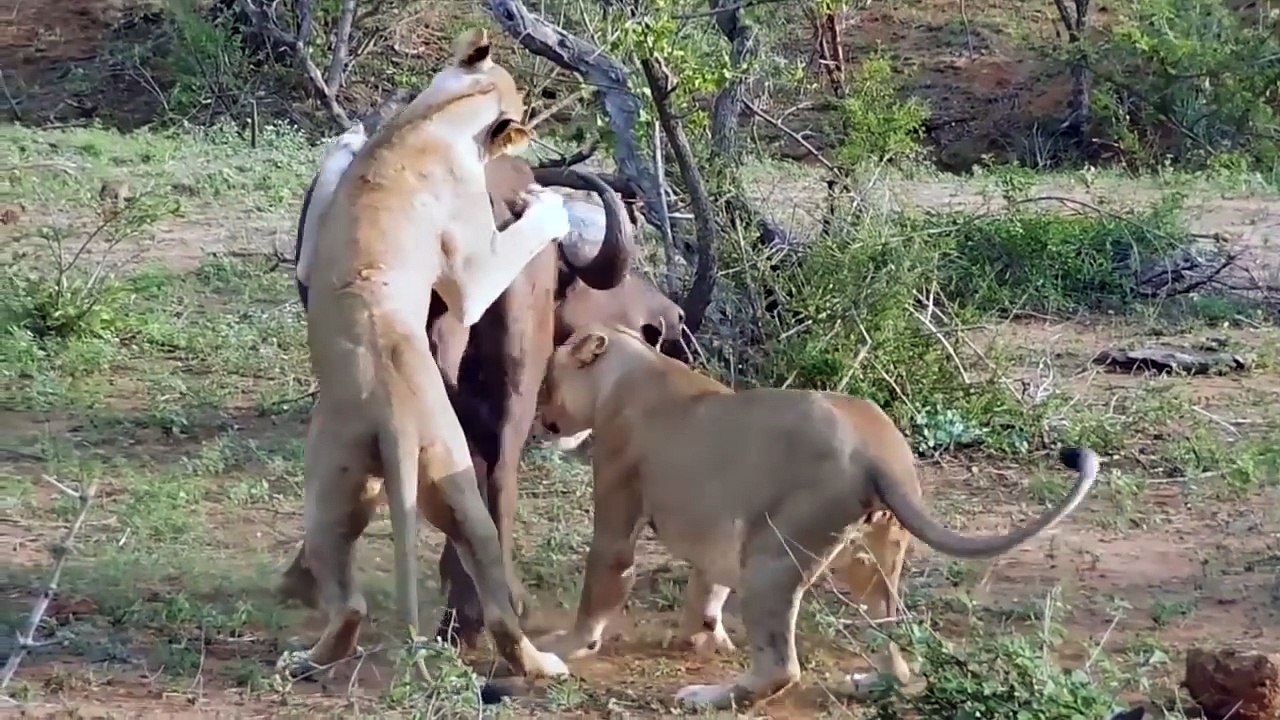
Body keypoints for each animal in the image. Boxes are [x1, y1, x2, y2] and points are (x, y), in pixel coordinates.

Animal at [279, 29, 572, 687]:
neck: (435, 117)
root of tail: (394, 417)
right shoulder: (472, 274)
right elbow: (513, 242)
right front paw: (551, 207)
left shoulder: (311, 256)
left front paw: (349, 137)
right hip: (426, 485)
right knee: (485, 606)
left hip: (350, 492)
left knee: (358, 605)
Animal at [533, 325, 1100, 710]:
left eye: (546, 382)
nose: (538, 417)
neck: (631, 367)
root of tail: (877, 450)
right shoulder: (718, 525)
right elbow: (708, 584)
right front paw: (700, 635)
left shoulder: (618, 500)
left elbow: (603, 580)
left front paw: (563, 645)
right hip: (872, 560)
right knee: (892, 635)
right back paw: (873, 681)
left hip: (771, 554)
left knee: (781, 668)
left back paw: (705, 695)